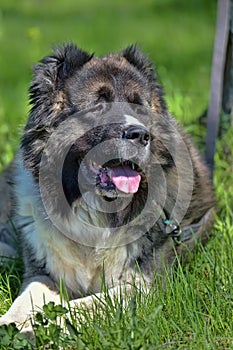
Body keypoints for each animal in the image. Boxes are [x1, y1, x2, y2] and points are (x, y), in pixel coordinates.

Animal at [0, 44, 215, 334]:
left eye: (139, 106)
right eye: (98, 105)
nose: (140, 135)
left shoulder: (142, 287)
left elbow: (82, 306)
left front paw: (39, 328)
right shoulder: (44, 271)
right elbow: (29, 295)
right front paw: (11, 324)